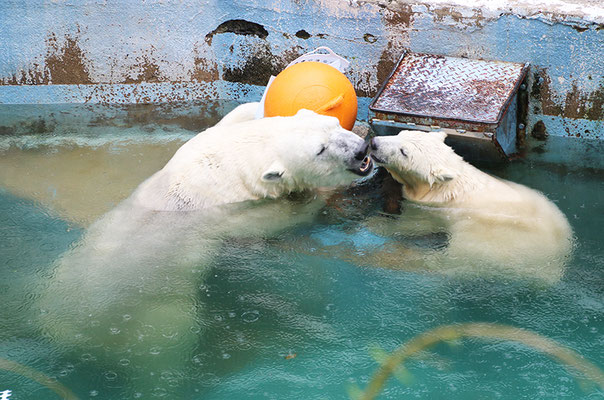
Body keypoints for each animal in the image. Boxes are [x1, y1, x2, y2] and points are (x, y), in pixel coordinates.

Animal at [37, 104, 370, 396]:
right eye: (321, 150)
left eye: (335, 124)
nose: (361, 151)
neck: (228, 164)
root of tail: (75, 338)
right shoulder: (236, 210)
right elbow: (285, 216)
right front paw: (326, 192)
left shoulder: (202, 145)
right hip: (155, 318)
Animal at [364, 130, 572, 282]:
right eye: (400, 133)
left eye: (404, 152)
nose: (374, 143)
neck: (450, 184)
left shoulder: (430, 207)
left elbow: (410, 225)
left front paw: (376, 224)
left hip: (486, 246)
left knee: (447, 261)